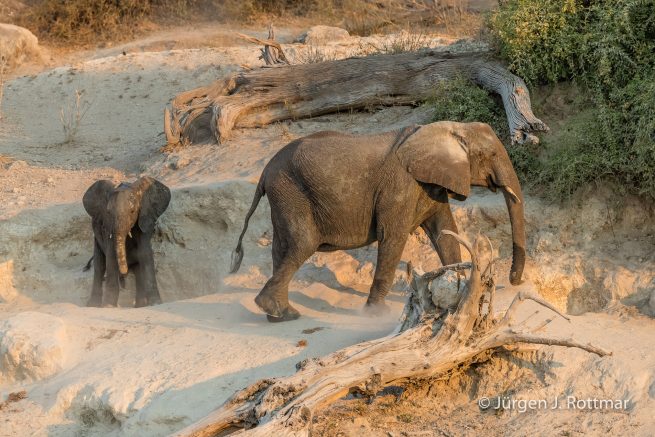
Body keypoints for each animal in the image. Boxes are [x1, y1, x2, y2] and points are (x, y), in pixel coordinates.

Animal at [82, 176, 171, 307]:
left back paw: (140, 305)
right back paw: (93, 305)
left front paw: (155, 303)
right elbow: (111, 258)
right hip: (96, 236)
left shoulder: (144, 220)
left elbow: (145, 255)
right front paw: (109, 306)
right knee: (99, 266)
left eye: (133, 211)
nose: (124, 272)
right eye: (108, 212)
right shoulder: (108, 227)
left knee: (138, 270)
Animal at [230, 121, 526, 322]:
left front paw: (458, 290)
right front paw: (377, 314)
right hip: (291, 193)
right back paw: (282, 312)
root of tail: (265, 170)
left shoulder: (431, 185)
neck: (445, 128)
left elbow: (445, 233)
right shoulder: (400, 187)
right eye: (491, 156)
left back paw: (278, 315)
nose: (514, 281)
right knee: (302, 245)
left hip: (283, 197)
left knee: (281, 248)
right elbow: (393, 238)